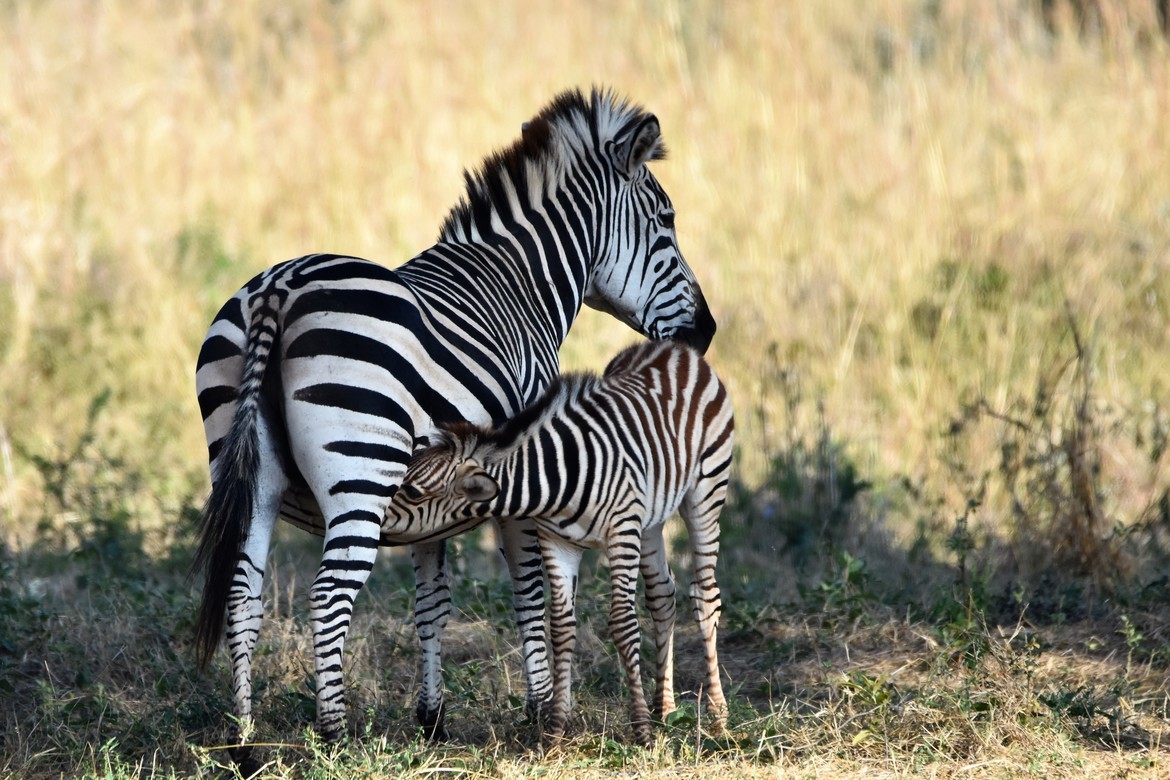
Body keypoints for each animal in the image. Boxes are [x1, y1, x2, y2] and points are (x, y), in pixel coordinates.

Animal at [383, 339, 733, 746]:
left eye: (412, 491)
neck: (559, 480)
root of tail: (672, 348)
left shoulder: (621, 531)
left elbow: (623, 624)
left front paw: (641, 731)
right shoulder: (557, 541)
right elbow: (561, 628)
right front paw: (554, 732)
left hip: (705, 491)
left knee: (705, 596)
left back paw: (718, 718)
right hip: (650, 519)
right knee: (663, 595)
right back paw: (666, 710)